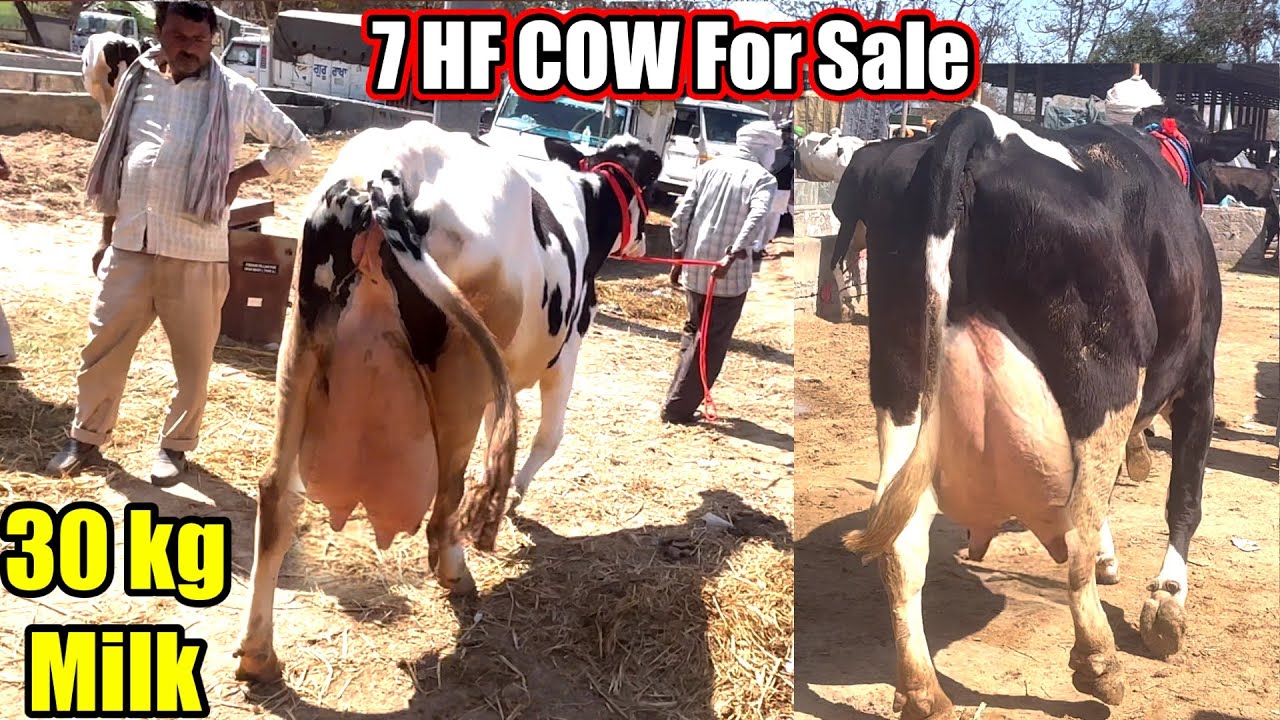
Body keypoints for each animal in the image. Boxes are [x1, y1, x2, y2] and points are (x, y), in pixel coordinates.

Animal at [232, 121, 662, 683]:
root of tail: (385, 170)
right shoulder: (565, 352)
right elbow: (549, 437)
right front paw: (516, 495)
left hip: (300, 343)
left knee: (277, 495)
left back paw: (258, 653)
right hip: (463, 377)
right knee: (444, 505)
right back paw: (457, 572)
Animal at [840, 100, 1254, 718]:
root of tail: (979, 129)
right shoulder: (1200, 377)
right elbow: (1184, 501)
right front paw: (1166, 606)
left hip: (902, 381)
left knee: (901, 540)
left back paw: (922, 691)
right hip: (1102, 375)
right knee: (1076, 527)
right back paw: (1100, 662)